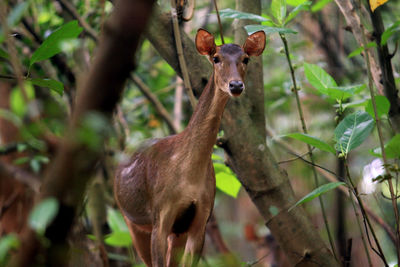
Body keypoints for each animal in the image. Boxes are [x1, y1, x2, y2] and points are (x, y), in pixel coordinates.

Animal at [114, 28, 266, 266]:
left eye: (245, 59)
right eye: (216, 58)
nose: (235, 85)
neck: (188, 176)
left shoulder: (201, 217)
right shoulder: (161, 214)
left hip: (176, 232)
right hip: (130, 220)